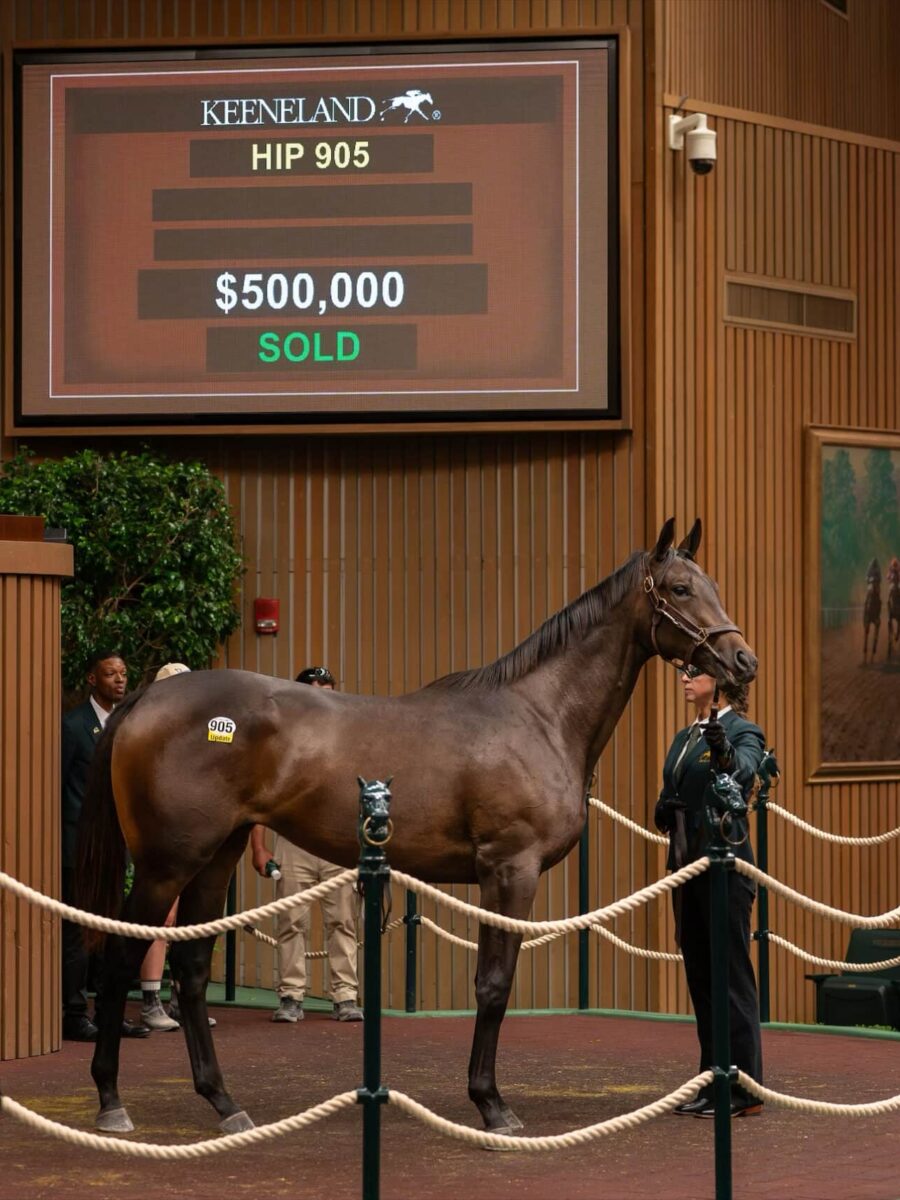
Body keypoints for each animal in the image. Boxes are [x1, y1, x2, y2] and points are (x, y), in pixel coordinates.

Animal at [77, 516, 758, 1132]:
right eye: (679, 589)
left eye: (712, 584)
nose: (743, 660)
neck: (538, 714)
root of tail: (147, 697)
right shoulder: (509, 871)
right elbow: (494, 984)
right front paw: (491, 1104)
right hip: (165, 866)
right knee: (119, 956)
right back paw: (111, 1101)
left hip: (216, 857)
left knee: (191, 969)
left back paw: (223, 1102)